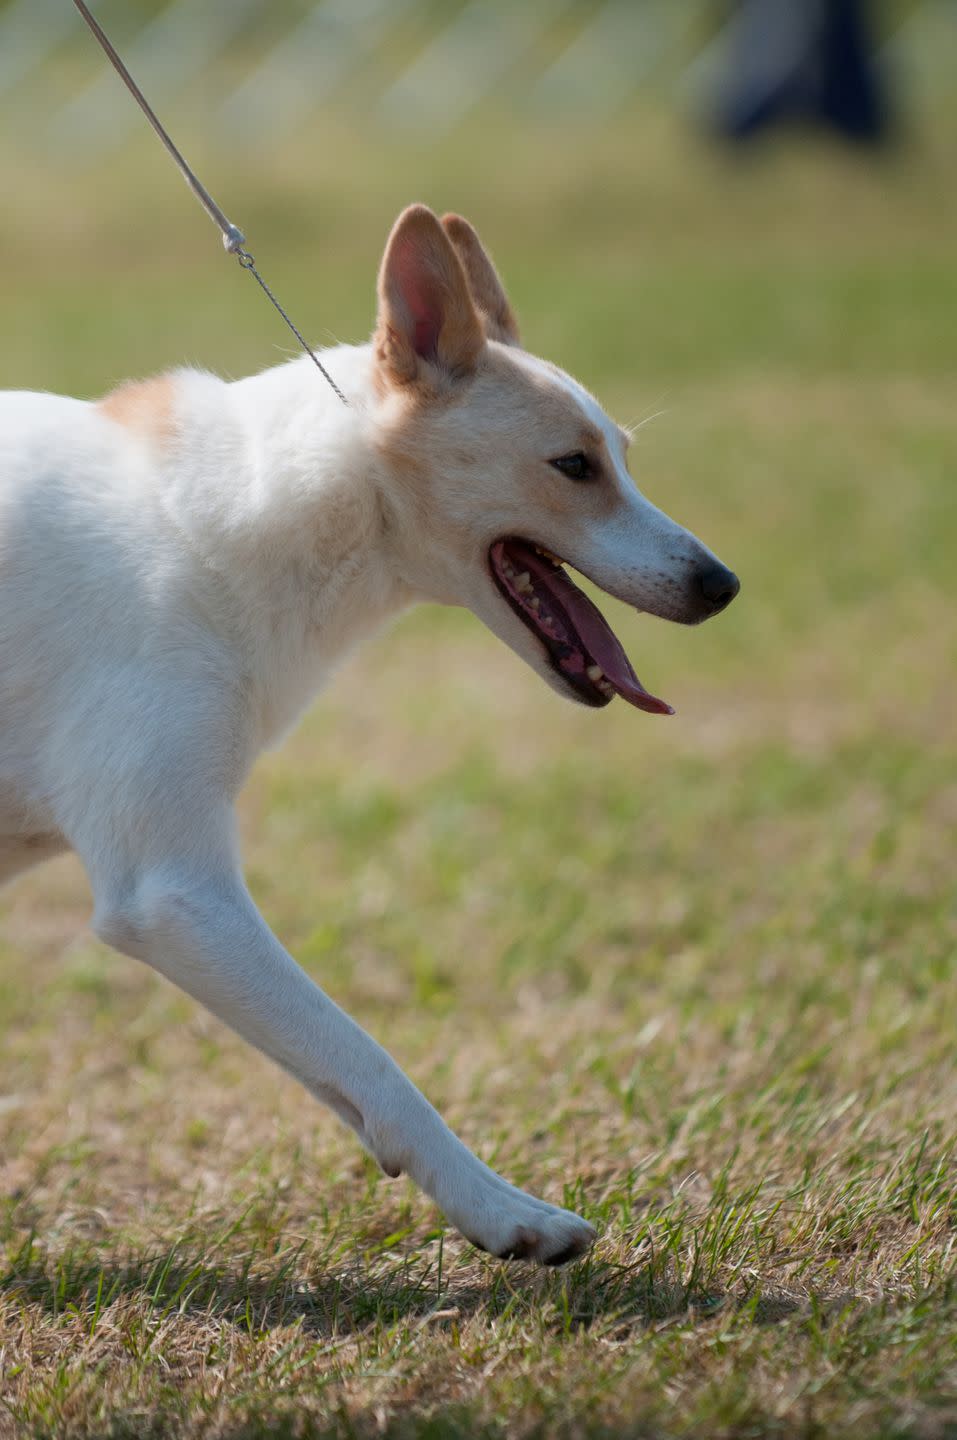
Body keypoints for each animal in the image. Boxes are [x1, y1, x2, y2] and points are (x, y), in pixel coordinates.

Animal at [0, 208, 736, 1267]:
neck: (232, 518)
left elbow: (341, 1072)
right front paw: (500, 1210)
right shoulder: (175, 894)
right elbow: (373, 1061)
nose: (722, 585)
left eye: (624, 458)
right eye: (575, 468)